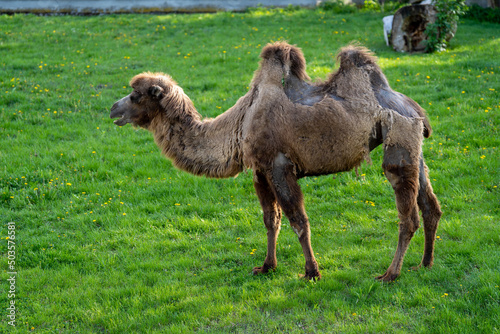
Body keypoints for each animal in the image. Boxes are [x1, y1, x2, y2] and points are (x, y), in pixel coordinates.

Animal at [109, 41, 442, 282]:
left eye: (136, 95)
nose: (113, 108)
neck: (239, 123)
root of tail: (414, 109)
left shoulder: (279, 165)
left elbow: (298, 220)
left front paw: (311, 272)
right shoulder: (260, 170)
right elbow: (271, 219)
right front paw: (267, 266)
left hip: (398, 139)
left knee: (407, 212)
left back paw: (391, 274)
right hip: (414, 146)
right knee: (431, 205)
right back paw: (425, 264)